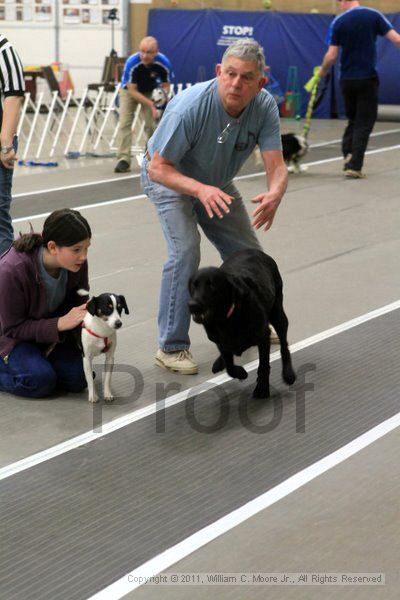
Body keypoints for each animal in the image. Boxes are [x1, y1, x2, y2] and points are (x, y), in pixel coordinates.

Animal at [189, 248, 296, 398]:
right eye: (194, 285)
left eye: (211, 286)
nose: (192, 305)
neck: (225, 319)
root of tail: (252, 250)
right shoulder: (219, 340)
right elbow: (229, 366)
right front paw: (240, 372)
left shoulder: (263, 336)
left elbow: (263, 366)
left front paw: (262, 389)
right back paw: (219, 363)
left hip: (278, 314)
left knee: (284, 346)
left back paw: (288, 374)